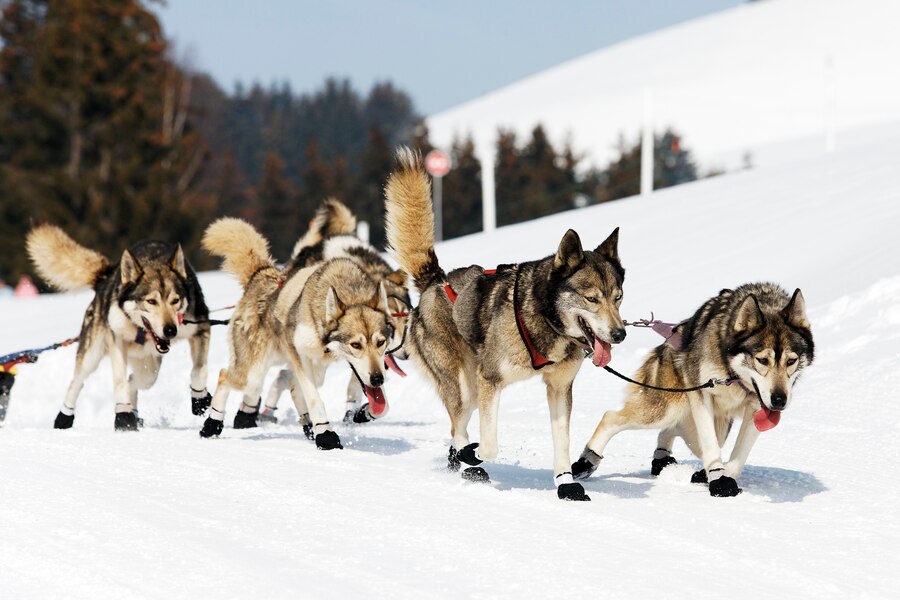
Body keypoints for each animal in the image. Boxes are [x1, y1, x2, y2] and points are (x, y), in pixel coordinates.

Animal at [25, 223, 212, 428]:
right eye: (151, 301)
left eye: (175, 301)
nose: (170, 330)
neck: (141, 331)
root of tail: (107, 276)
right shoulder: (117, 339)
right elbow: (119, 380)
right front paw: (123, 416)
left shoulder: (201, 327)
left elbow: (199, 370)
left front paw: (200, 399)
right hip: (92, 354)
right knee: (77, 381)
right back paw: (64, 417)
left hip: (150, 365)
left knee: (138, 380)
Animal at [202, 218, 392, 448]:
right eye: (356, 345)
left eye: (381, 342)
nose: (378, 379)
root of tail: (262, 273)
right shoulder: (300, 355)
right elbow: (314, 399)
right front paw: (327, 436)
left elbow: (383, 406)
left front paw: (363, 413)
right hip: (254, 374)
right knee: (225, 376)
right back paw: (212, 424)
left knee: (292, 387)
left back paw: (309, 427)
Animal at [258, 199, 410, 428]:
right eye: (392, 322)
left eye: (406, 319)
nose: (406, 353)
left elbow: (366, 391)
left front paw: (358, 411)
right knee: (287, 376)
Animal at [384, 148, 624, 500]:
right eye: (592, 298)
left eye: (618, 297)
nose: (620, 334)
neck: (543, 319)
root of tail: (436, 280)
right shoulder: (491, 381)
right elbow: (489, 445)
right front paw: (474, 453)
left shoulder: (559, 388)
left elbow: (562, 442)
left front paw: (566, 483)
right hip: (464, 385)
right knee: (458, 425)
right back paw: (467, 459)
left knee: (457, 426)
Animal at [576, 284, 816, 494]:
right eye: (762, 360)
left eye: (791, 361)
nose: (779, 400)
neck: (733, 375)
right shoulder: (701, 394)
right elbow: (710, 446)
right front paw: (719, 478)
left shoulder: (757, 408)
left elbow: (740, 454)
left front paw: (725, 475)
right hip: (666, 408)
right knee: (611, 417)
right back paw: (588, 460)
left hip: (710, 424)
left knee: (671, 430)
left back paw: (665, 460)